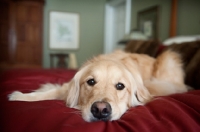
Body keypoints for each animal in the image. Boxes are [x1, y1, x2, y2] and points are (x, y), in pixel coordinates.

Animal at [8, 50, 188, 121]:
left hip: (168, 59)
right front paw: (19, 96)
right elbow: (47, 92)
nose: (100, 110)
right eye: (91, 82)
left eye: (120, 86)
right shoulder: (67, 88)